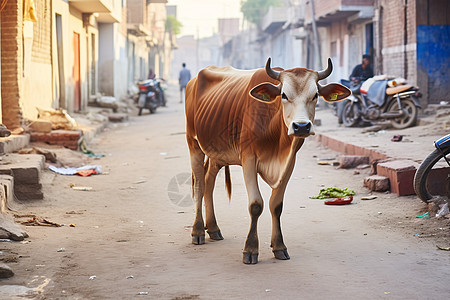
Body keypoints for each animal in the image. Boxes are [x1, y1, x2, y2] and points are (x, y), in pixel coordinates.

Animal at [185, 57, 350, 264]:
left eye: (315, 95)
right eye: (284, 95)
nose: (301, 127)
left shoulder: (289, 162)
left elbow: (276, 205)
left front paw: (279, 246)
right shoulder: (248, 159)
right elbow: (256, 205)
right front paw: (250, 249)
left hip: (217, 153)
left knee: (208, 182)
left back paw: (213, 229)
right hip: (193, 143)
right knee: (199, 185)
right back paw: (198, 231)